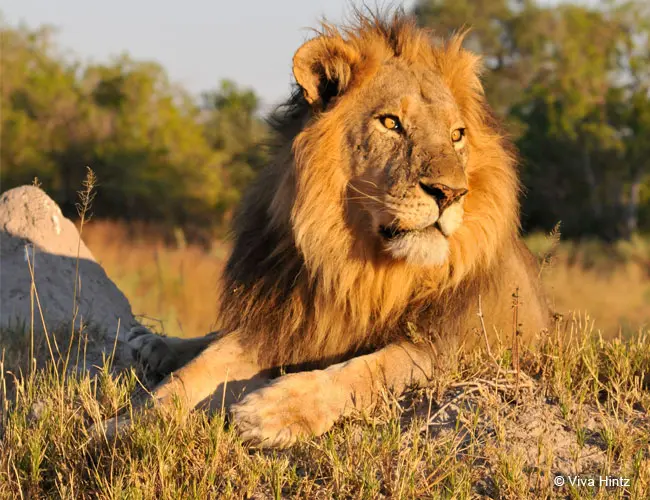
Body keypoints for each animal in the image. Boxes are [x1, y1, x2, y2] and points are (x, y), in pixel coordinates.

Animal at [101, 12, 550, 448]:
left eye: (457, 135)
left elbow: (372, 368)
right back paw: (151, 345)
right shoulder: (285, 322)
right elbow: (201, 366)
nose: (451, 193)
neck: (363, 269)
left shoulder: (451, 347)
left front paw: (273, 411)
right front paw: (127, 424)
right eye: (391, 123)